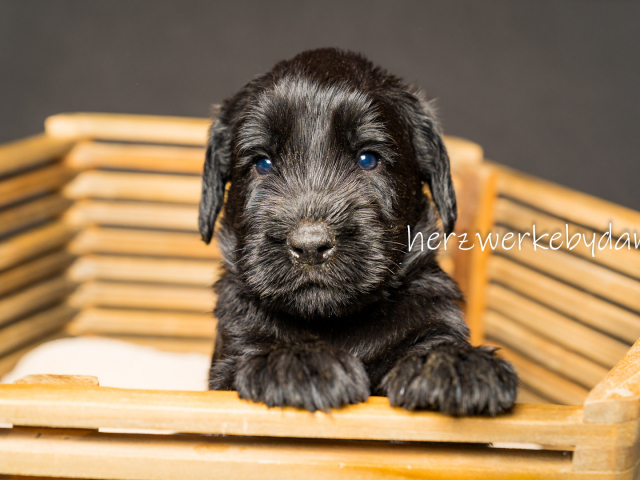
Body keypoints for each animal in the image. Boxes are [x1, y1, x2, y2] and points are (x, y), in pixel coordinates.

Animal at [201, 49, 520, 416]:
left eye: (368, 159)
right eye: (262, 163)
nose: (310, 247)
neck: (332, 323)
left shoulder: (431, 314)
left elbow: (434, 339)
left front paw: (455, 362)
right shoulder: (230, 356)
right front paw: (299, 360)